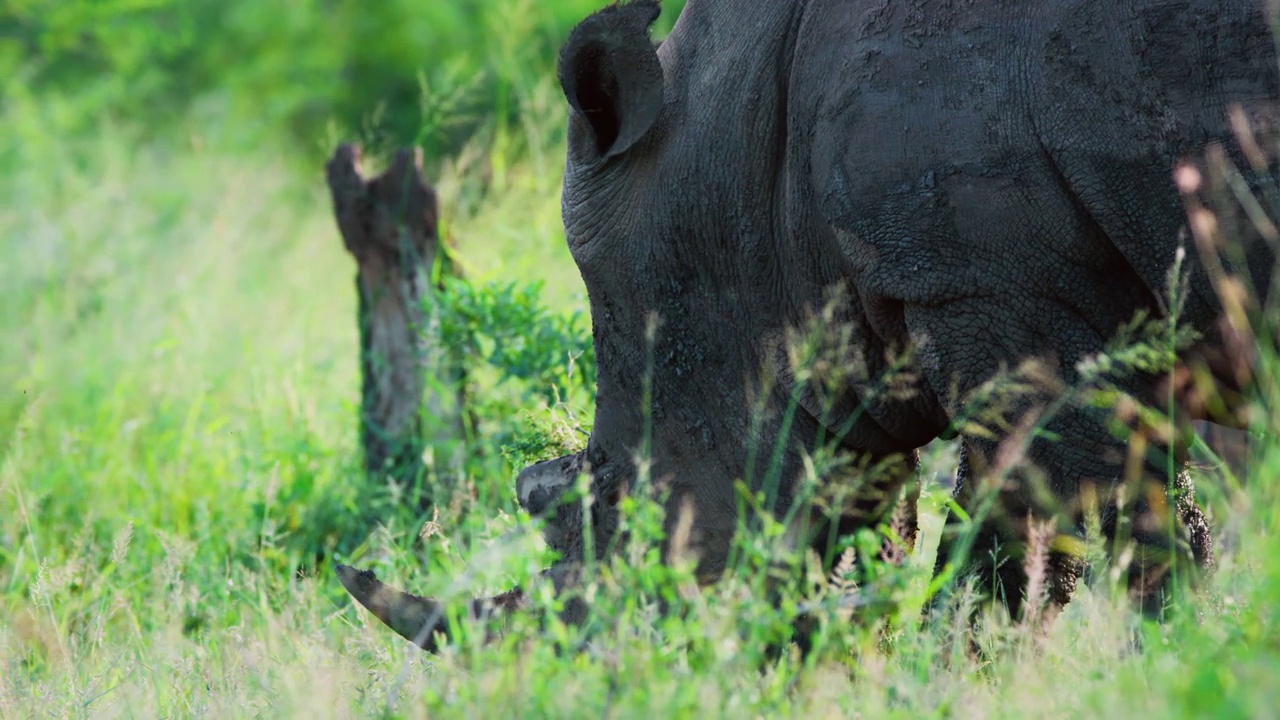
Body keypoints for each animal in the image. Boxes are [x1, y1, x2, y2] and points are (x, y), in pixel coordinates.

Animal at [343, 0, 1280, 648]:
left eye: (613, 507)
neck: (747, 191)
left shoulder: (990, 287)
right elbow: (1108, 527)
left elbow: (1043, 542)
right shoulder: (1025, 302)